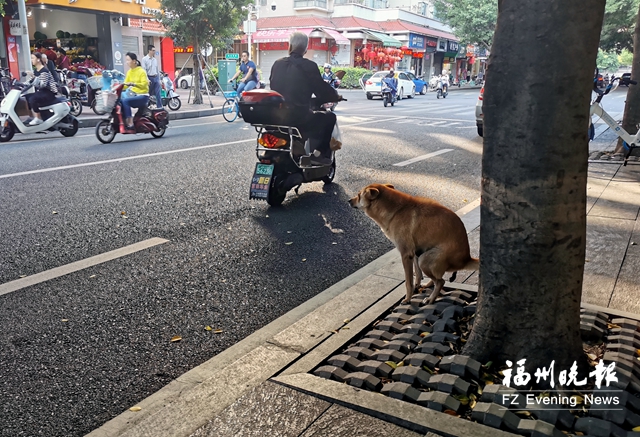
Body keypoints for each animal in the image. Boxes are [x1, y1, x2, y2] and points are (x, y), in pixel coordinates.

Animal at [350, 183, 480, 304]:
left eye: (358, 195)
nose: (349, 201)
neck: (396, 210)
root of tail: (466, 259)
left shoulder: (406, 254)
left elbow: (408, 281)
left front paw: (408, 298)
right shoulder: (414, 252)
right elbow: (417, 273)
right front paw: (417, 287)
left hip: (425, 260)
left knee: (441, 281)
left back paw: (431, 298)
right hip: (422, 254)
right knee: (438, 277)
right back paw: (429, 285)